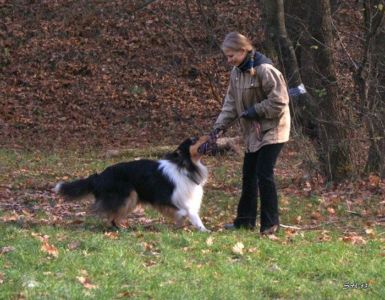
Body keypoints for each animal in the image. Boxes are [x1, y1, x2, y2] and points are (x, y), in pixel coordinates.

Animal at [53, 136, 210, 232]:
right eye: (194, 140)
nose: (210, 135)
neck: (185, 166)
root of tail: (100, 176)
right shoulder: (172, 198)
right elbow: (189, 213)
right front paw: (203, 229)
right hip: (128, 194)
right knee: (111, 215)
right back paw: (120, 229)